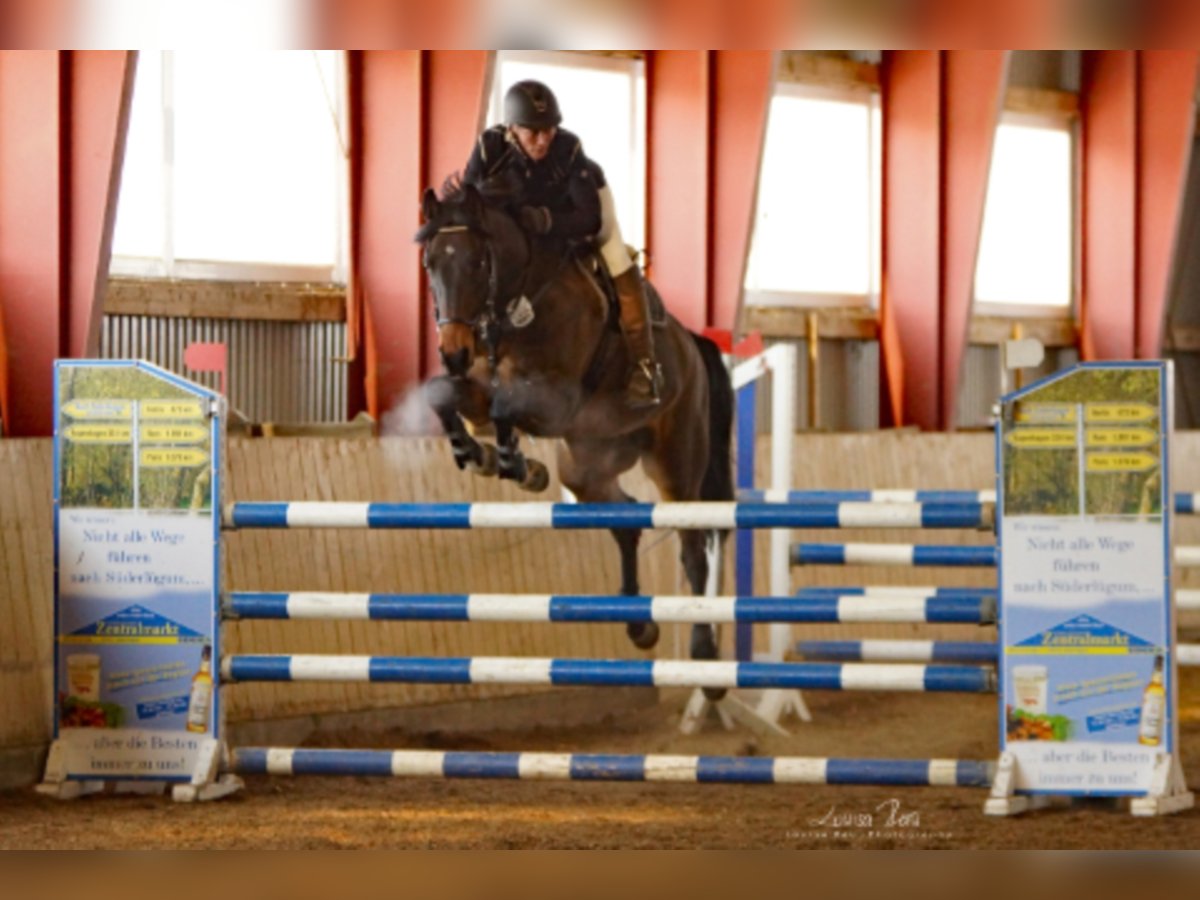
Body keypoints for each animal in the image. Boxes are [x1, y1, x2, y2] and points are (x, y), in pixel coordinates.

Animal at [417, 183, 734, 691]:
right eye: (430, 263)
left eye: (478, 262)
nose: (453, 353)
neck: (520, 300)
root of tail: (692, 343)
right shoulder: (483, 383)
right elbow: (448, 395)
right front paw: (485, 455)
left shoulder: (557, 401)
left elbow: (505, 405)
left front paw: (511, 461)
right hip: (587, 463)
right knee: (625, 520)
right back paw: (640, 626)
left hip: (676, 460)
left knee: (692, 546)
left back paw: (705, 658)